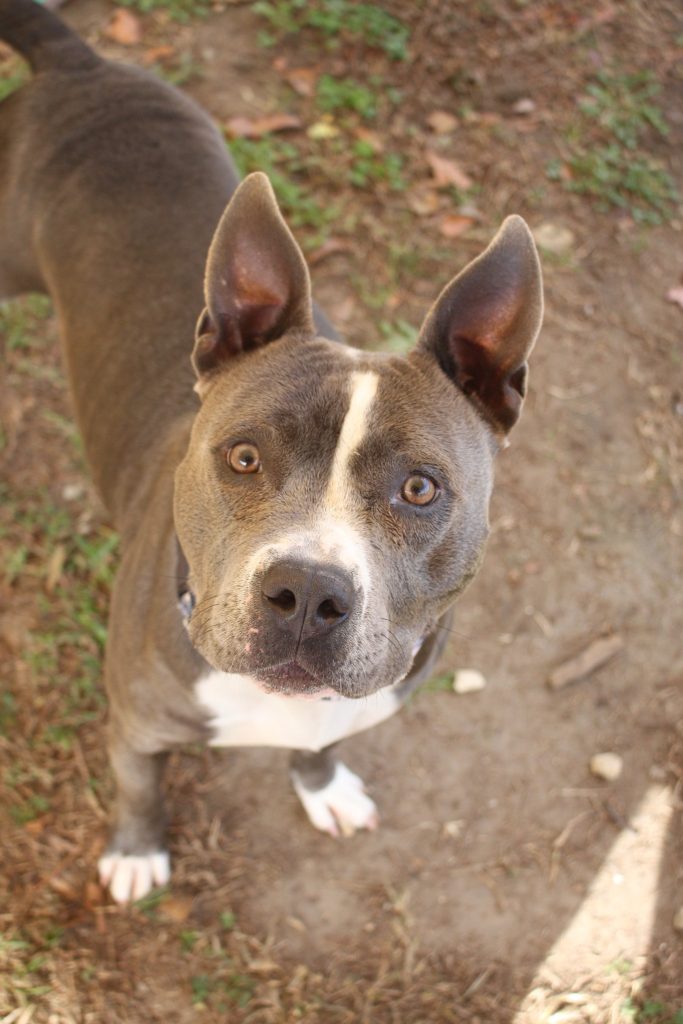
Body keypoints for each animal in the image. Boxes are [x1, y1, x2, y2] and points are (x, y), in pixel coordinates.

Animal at [0, 0, 543, 903]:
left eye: (420, 489)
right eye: (244, 458)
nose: (308, 593)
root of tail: (81, 63)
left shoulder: (355, 702)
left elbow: (324, 744)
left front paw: (321, 787)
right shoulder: (133, 724)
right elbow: (139, 787)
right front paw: (138, 850)